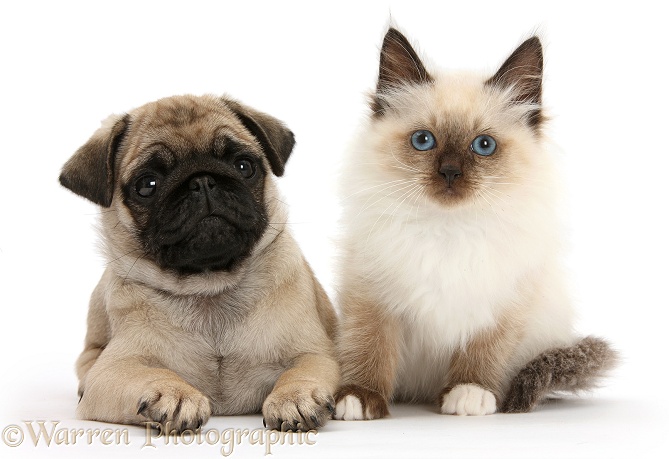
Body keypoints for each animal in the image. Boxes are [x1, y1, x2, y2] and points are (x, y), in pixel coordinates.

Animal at [59, 95, 340, 434]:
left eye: (244, 166)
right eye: (147, 184)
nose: (202, 180)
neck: (210, 288)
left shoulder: (314, 353)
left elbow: (301, 370)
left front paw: (295, 396)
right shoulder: (112, 371)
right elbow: (148, 374)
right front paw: (173, 394)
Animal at [334, 26, 616, 420]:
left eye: (483, 146)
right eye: (423, 140)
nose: (450, 172)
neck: (448, 230)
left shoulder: (502, 304)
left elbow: (483, 354)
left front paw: (469, 394)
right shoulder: (373, 296)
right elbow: (370, 349)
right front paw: (360, 397)